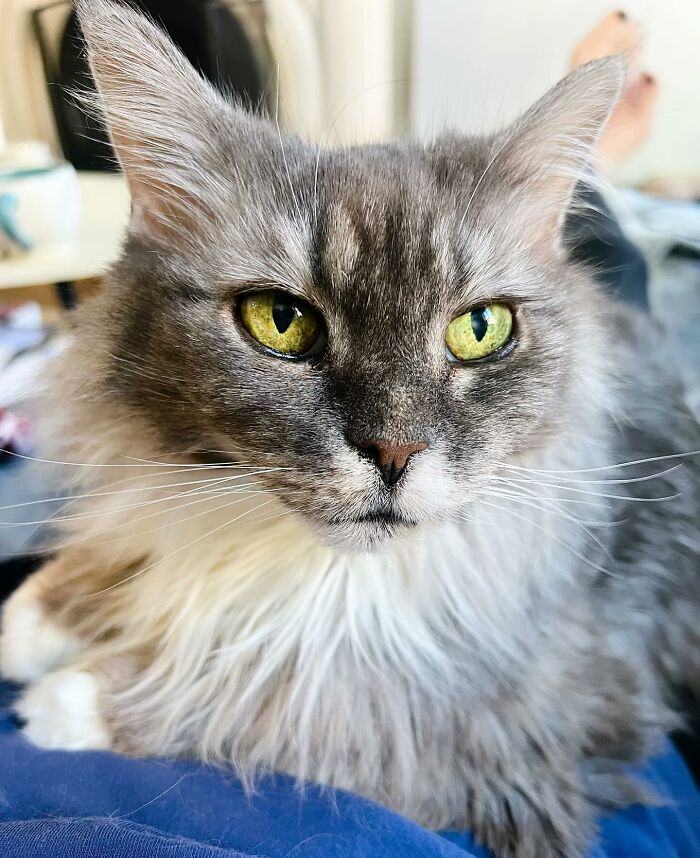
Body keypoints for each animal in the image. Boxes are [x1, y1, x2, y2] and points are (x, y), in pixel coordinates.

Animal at [1, 1, 700, 856]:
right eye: (280, 321)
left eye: (480, 329)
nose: (394, 451)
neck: (312, 565)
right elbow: (132, 554)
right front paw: (37, 614)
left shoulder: (523, 726)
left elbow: (277, 700)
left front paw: (68, 703)